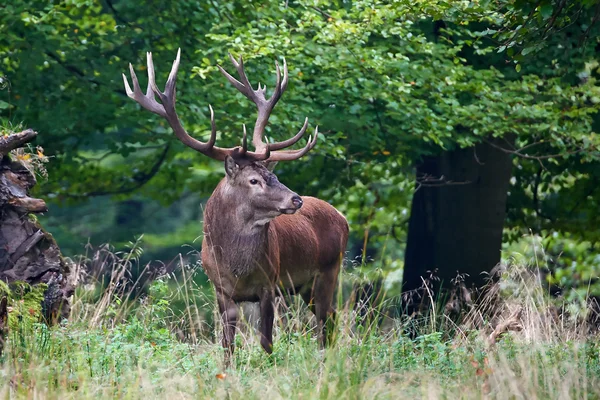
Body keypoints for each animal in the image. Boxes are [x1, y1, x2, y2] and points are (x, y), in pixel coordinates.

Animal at [123, 48, 346, 364]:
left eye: (273, 175)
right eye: (254, 179)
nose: (296, 199)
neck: (237, 267)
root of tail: (342, 217)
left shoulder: (269, 284)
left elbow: (266, 342)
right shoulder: (221, 290)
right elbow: (227, 344)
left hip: (329, 270)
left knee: (328, 320)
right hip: (307, 286)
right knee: (328, 318)